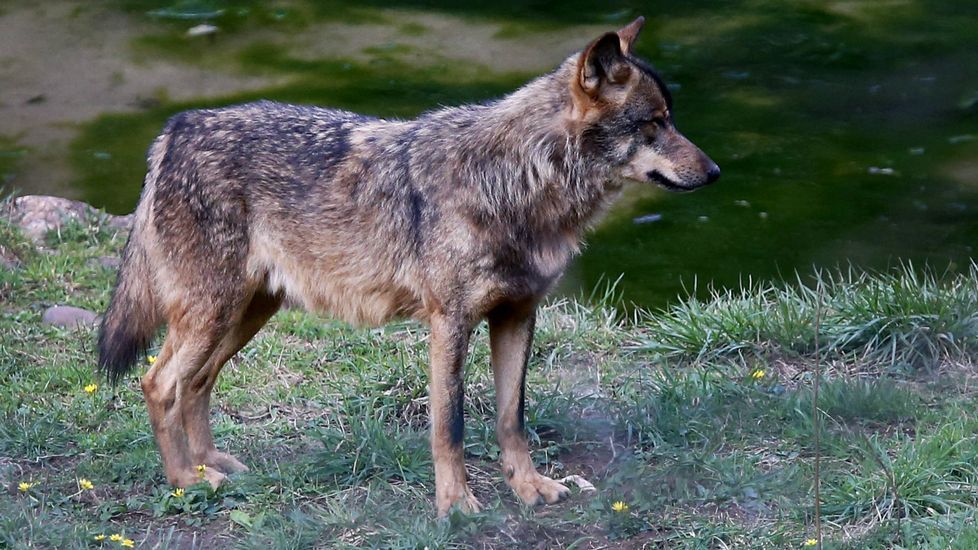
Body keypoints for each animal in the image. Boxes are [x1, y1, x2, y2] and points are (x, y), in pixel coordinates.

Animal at [97, 16, 719, 516]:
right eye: (654, 124)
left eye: (670, 120)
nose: (714, 173)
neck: (518, 180)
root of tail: (176, 129)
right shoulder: (449, 323)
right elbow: (450, 426)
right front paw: (457, 506)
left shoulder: (517, 316)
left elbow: (511, 419)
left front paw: (528, 489)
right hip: (214, 314)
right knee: (159, 383)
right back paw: (186, 481)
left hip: (244, 315)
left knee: (197, 382)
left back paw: (211, 465)